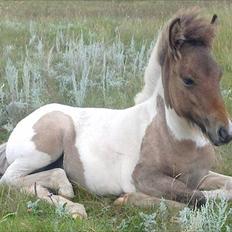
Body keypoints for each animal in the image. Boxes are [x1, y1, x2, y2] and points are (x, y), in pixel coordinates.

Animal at [0, 9, 232, 218]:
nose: (224, 132)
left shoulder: (200, 175)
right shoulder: (144, 177)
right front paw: (128, 199)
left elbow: (225, 187)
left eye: (219, 74)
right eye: (188, 79)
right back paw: (67, 192)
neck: (173, 136)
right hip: (45, 148)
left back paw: (72, 206)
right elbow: (196, 198)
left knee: (30, 184)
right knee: (11, 179)